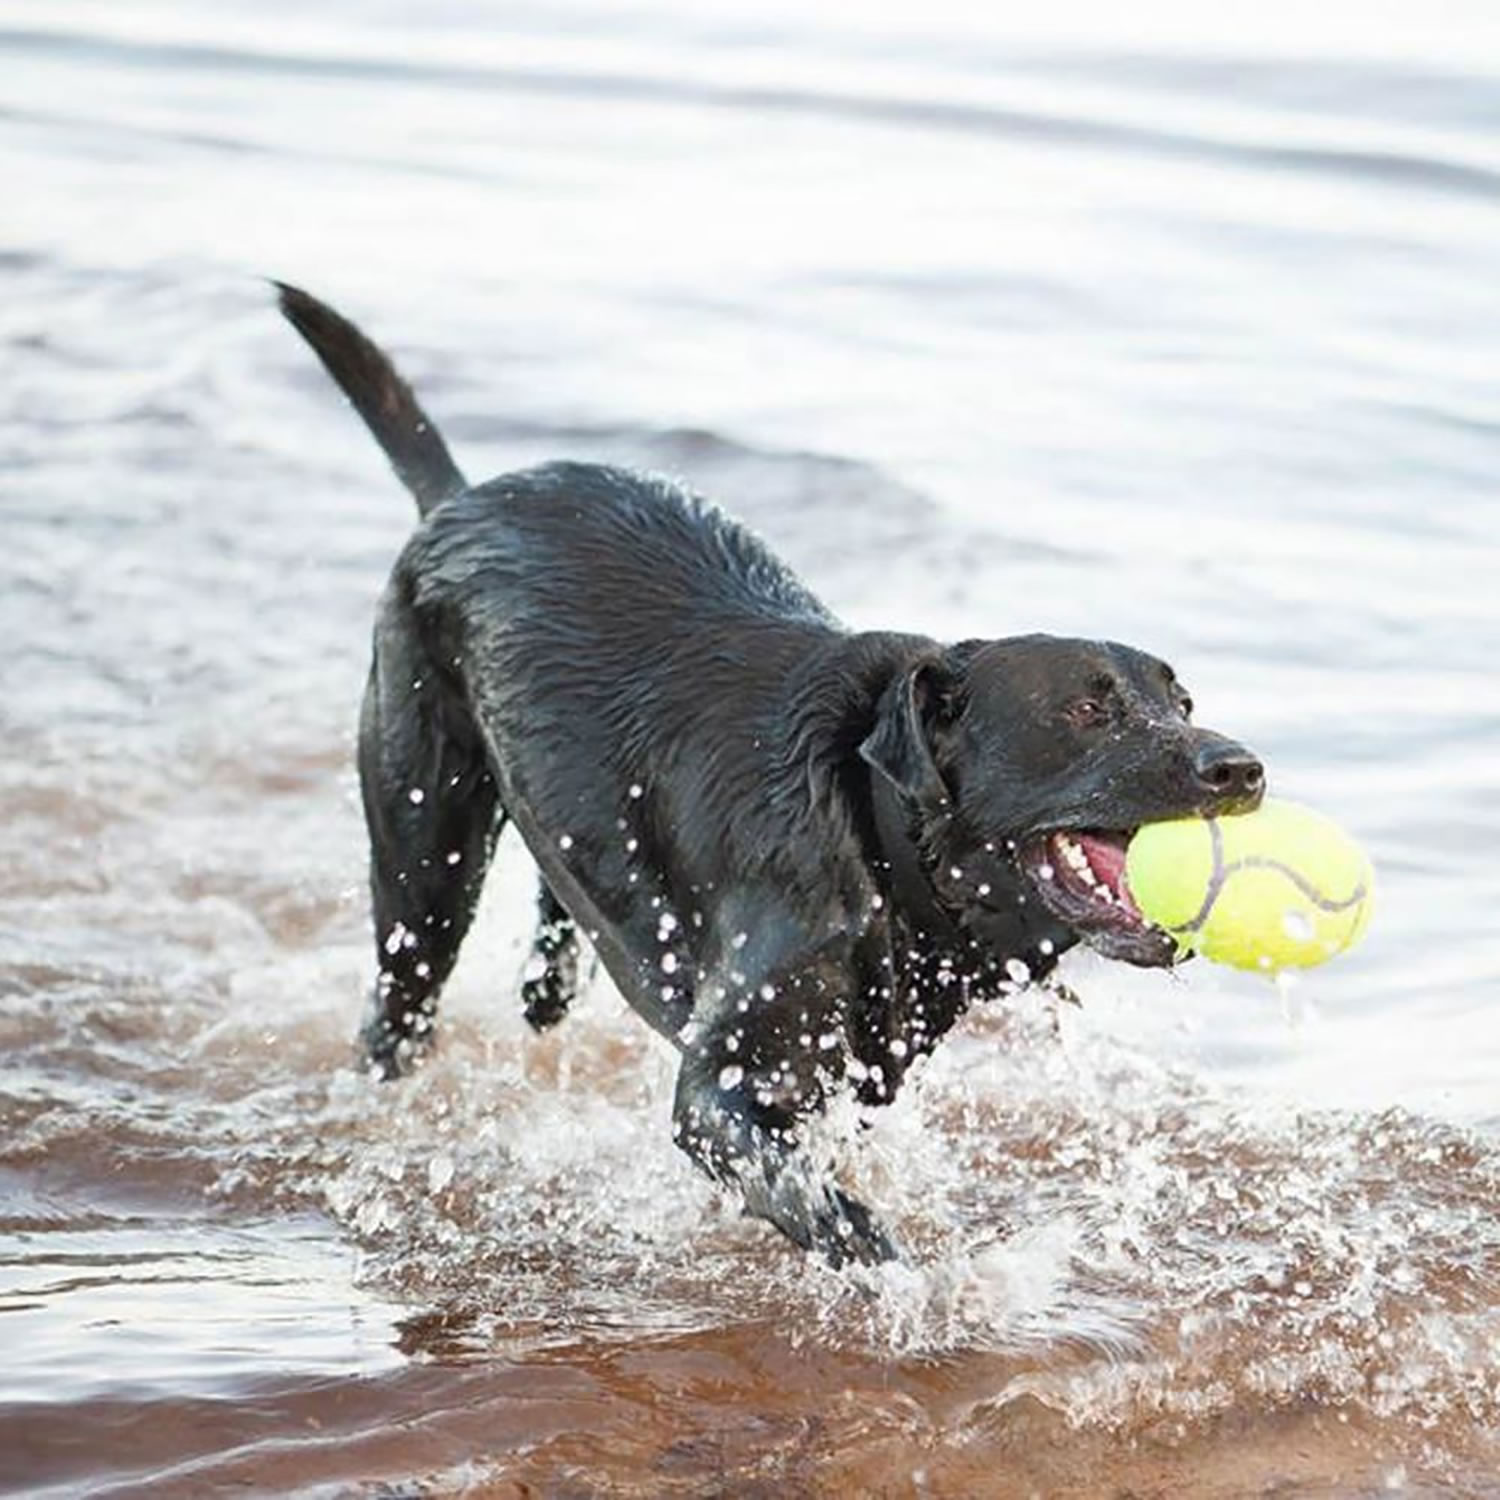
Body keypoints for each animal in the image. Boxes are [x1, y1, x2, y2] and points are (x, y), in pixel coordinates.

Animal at [276, 282, 1260, 1266]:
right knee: (398, 1001)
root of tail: (458, 498)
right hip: (424, 855)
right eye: (1088, 710)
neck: (876, 839)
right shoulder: (721, 1091)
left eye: (1180, 701)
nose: (1243, 768)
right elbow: (837, 1215)